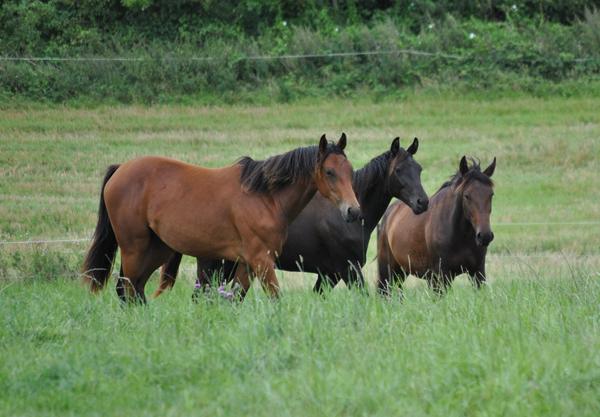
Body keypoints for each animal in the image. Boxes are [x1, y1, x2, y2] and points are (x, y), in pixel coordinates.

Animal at [81, 135, 358, 300]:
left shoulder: (247, 263)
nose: (353, 211)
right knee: (127, 289)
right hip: (134, 249)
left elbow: (235, 297)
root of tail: (121, 169)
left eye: (350, 170)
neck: (265, 197)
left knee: (134, 288)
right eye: (329, 172)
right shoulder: (262, 260)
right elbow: (275, 297)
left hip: (156, 250)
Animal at [152, 136, 428, 296]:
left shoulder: (328, 275)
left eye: (419, 169)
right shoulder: (348, 270)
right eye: (399, 170)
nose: (422, 203)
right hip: (213, 268)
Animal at [376, 156, 496, 296]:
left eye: (491, 194)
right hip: (387, 271)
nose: (485, 236)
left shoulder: (478, 272)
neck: (458, 235)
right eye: (467, 196)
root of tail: (388, 214)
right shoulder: (442, 276)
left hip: (402, 272)